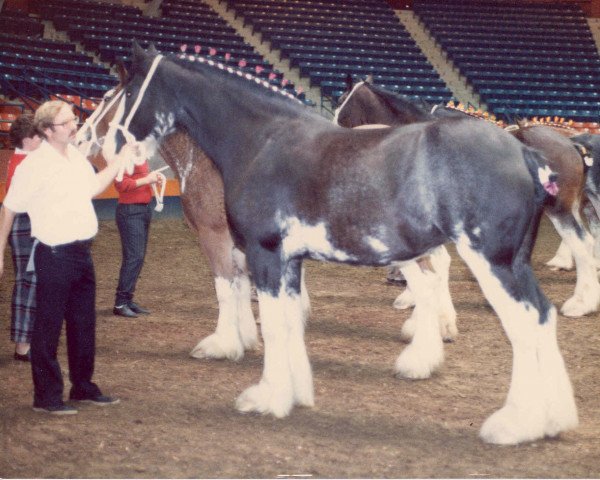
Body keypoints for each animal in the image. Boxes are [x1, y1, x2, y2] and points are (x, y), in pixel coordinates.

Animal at [101, 43, 580, 444]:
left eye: (124, 93)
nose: (107, 148)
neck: (263, 140)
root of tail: (526, 153)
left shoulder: (264, 254)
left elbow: (270, 322)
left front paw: (266, 395)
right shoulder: (289, 261)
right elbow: (288, 320)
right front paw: (294, 392)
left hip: (492, 261)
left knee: (522, 323)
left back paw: (514, 423)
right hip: (513, 262)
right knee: (542, 316)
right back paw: (553, 418)